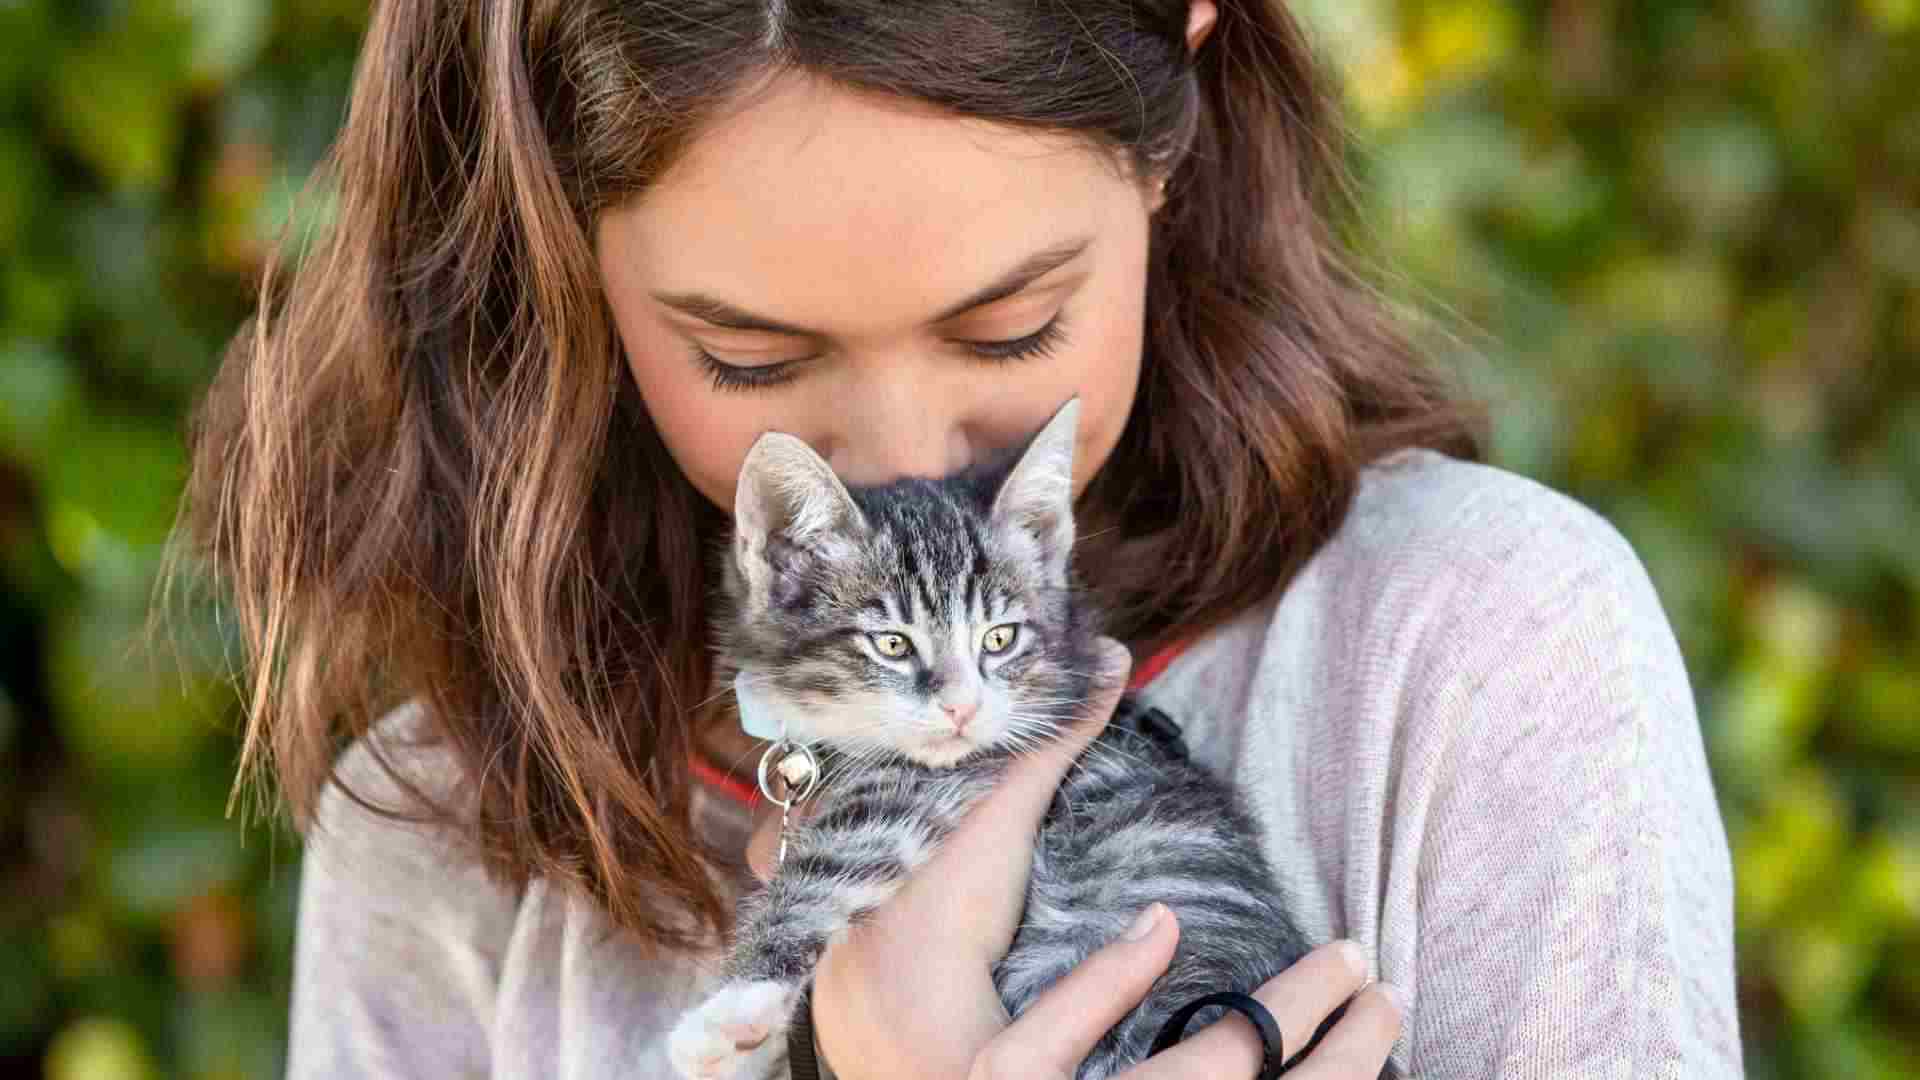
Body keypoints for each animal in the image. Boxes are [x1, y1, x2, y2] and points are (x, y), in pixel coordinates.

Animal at [672, 399, 1320, 1076]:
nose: (963, 706)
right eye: (893, 644)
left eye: (1000, 639)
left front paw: (736, 1006)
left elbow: (834, 861)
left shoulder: (947, 775)